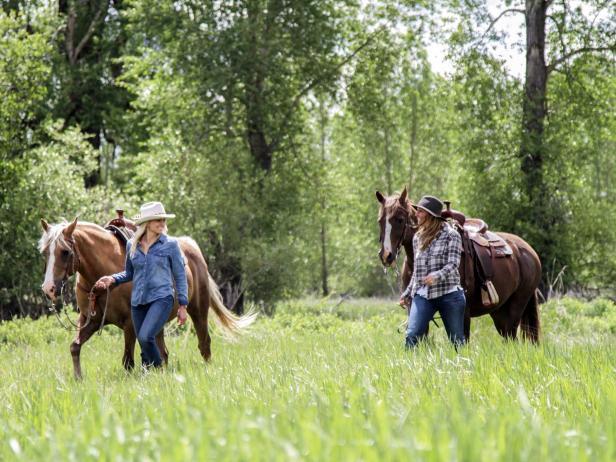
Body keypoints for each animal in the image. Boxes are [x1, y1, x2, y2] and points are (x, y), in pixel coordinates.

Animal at [38, 218, 255, 378]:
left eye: (65, 252)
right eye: (45, 253)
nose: (49, 288)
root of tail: (192, 248)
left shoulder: (130, 324)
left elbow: (128, 360)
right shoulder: (89, 320)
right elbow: (74, 347)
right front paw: (78, 378)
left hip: (199, 311)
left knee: (204, 344)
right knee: (163, 352)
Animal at [372, 188, 540, 342]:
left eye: (400, 219)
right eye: (380, 220)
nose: (386, 255)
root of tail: (529, 252)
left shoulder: (463, 311)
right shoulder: (413, 306)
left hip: (515, 307)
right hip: (499, 311)